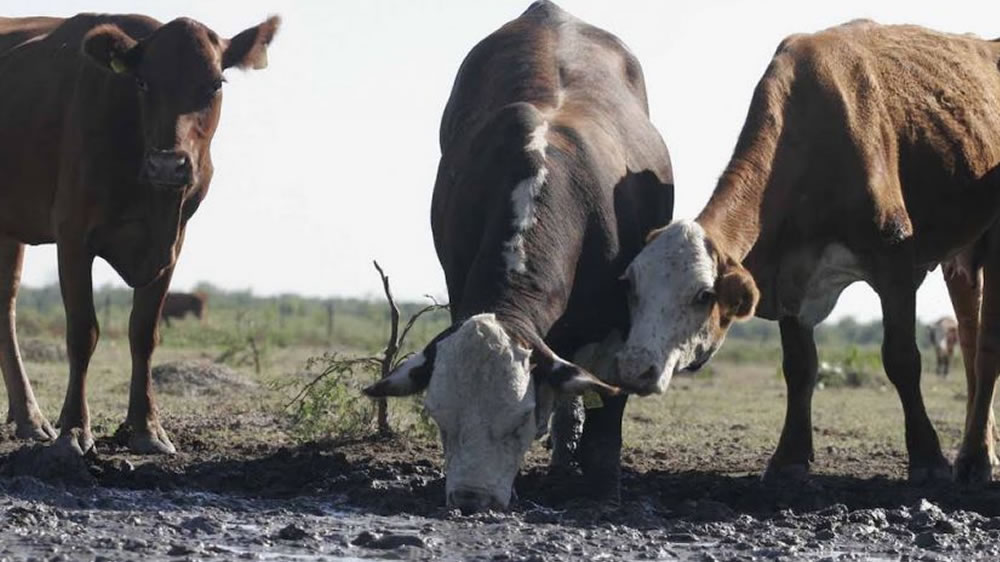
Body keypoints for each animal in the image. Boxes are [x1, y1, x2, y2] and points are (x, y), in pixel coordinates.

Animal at [0, 14, 282, 456]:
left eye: (215, 84)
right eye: (143, 82)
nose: (168, 164)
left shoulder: (172, 244)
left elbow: (144, 332)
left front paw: (146, 428)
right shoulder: (73, 234)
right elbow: (83, 332)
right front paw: (74, 429)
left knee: (5, 304)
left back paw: (29, 418)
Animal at [360, 1, 672, 512]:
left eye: (520, 421)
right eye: (441, 419)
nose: (471, 499)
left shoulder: (620, 325)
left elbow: (606, 416)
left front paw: (603, 490)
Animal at [616, 18, 1000, 482]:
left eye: (702, 295)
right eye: (631, 288)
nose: (633, 368)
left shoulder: (894, 261)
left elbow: (902, 359)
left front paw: (927, 458)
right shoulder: (789, 274)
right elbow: (799, 367)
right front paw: (790, 457)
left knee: (986, 347)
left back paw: (976, 457)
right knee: (969, 342)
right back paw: (979, 451)